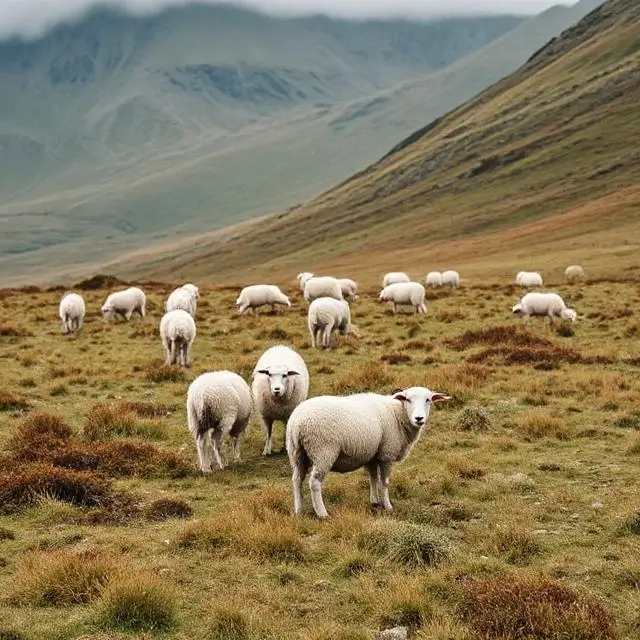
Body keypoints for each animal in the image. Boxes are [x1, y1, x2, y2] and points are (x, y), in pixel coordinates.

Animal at [286, 386, 451, 518]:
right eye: (408, 400)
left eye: (428, 400)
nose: (419, 418)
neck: (398, 414)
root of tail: (298, 422)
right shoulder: (387, 454)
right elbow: (384, 482)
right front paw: (388, 506)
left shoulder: (373, 455)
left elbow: (373, 478)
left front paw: (375, 502)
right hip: (323, 451)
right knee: (314, 482)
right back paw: (322, 513)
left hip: (296, 453)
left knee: (297, 479)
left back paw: (298, 511)